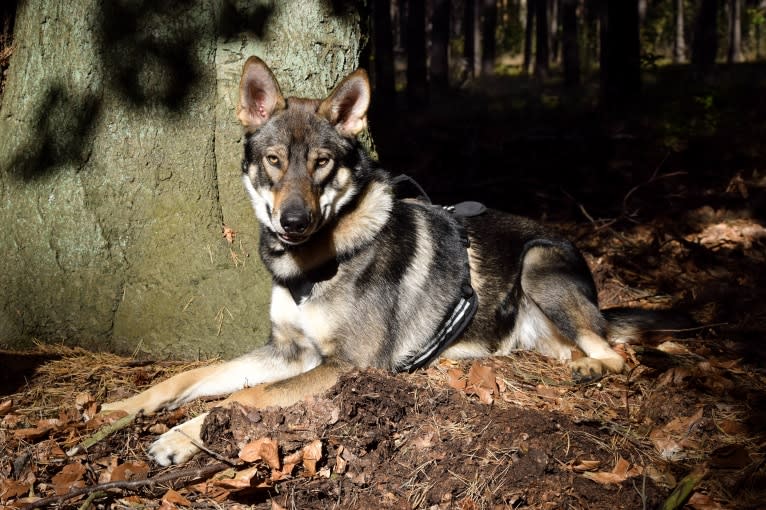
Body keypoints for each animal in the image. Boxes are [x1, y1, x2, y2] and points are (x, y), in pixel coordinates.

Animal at [105, 55, 676, 466]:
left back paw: (592, 367)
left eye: (322, 163)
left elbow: (241, 399)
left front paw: (180, 437)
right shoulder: (286, 351)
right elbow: (191, 377)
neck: (312, 265)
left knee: (613, 352)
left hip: (539, 261)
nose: (293, 222)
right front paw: (120, 409)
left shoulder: (345, 366)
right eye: (274, 161)